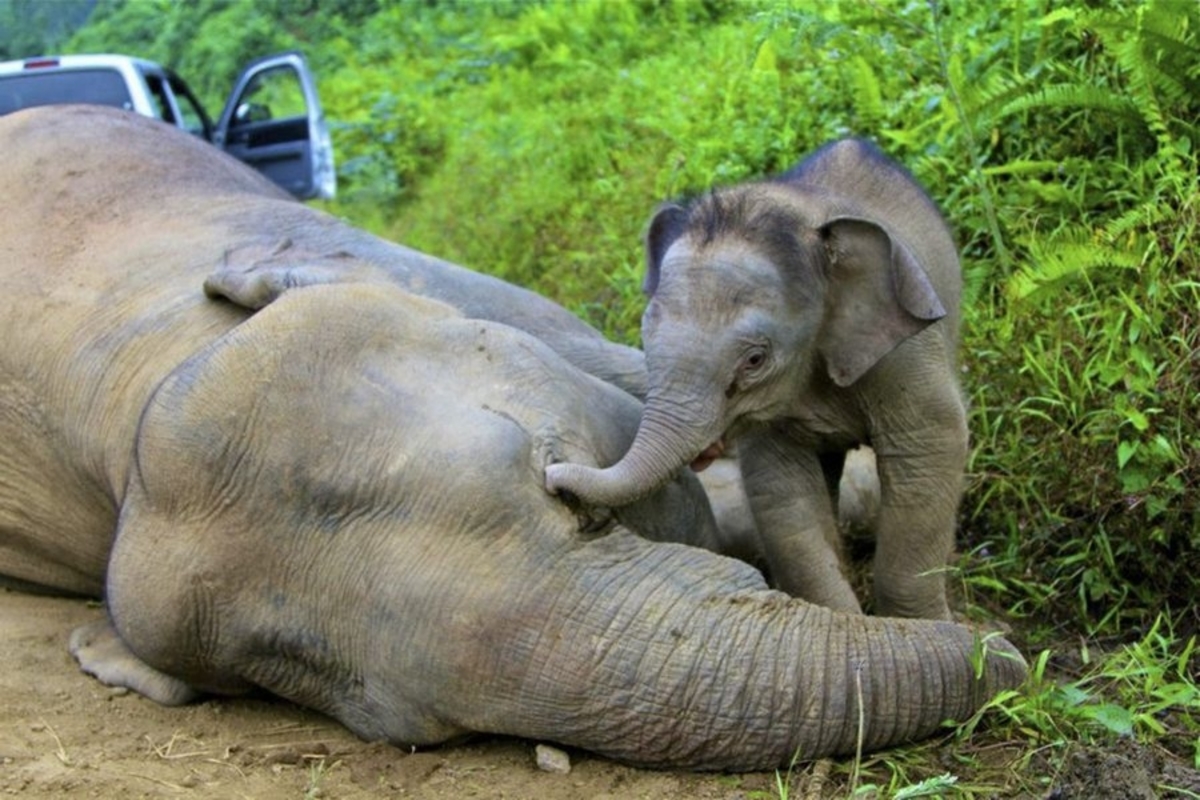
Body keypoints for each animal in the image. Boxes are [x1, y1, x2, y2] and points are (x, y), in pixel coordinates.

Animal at [549, 139, 969, 618]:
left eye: (754, 359)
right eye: (644, 336)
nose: (553, 477)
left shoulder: (906, 352)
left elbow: (930, 449)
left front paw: (928, 626)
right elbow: (781, 489)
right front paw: (842, 619)